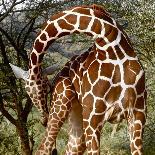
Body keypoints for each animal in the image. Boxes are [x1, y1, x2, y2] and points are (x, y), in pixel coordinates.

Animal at [10, 4, 147, 154]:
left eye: (46, 89)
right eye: (28, 92)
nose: (43, 119)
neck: (111, 46)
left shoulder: (138, 114)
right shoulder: (93, 119)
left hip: (76, 121)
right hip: (63, 103)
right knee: (43, 148)